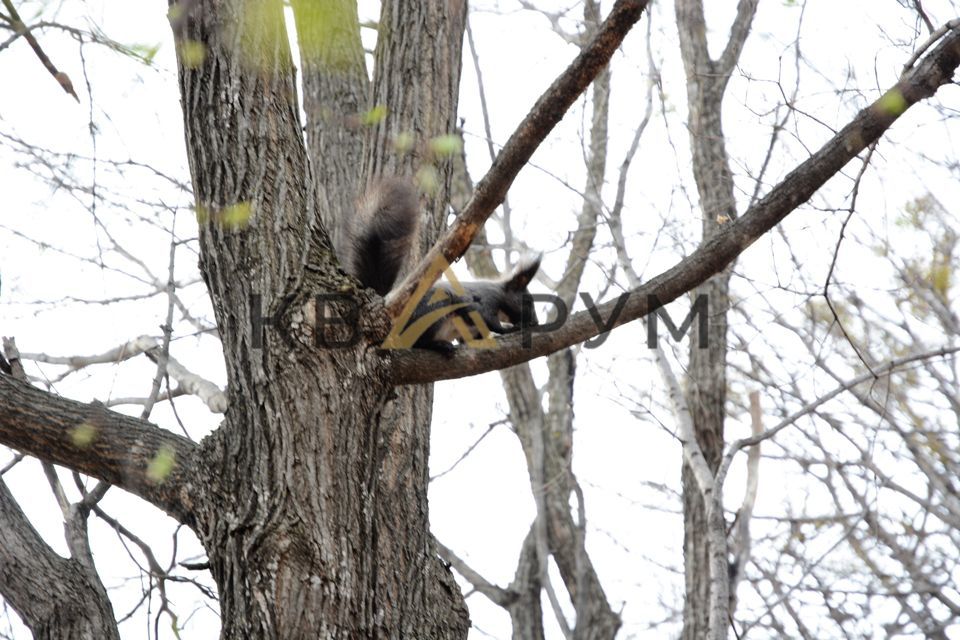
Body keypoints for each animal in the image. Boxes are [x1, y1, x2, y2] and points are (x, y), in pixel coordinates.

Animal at [344, 178, 540, 352]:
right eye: (528, 302)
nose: (536, 322)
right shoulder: (485, 300)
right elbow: (487, 319)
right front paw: (508, 329)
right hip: (434, 310)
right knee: (418, 342)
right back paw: (439, 345)